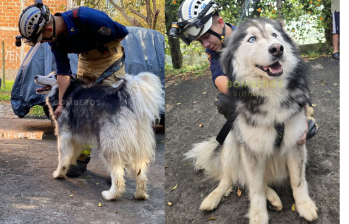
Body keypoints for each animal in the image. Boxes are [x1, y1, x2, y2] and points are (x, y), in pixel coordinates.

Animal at [34, 72, 164, 201]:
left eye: (51, 76)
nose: (35, 76)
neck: (67, 90)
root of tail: (124, 98)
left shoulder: (64, 135)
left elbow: (62, 158)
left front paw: (59, 174)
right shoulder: (75, 137)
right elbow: (73, 154)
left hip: (109, 145)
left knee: (118, 176)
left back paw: (111, 195)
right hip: (137, 148)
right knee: (140, 174)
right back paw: (140, 194)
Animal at [186, 18, 316, 223]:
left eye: (275, 35)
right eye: (252, 39)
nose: (277, 49)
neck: (271, 93)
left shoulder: (296, 141)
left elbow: (298, 181)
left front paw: (304, 205)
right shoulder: (251, 149)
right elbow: (255, 188)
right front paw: (257, 215)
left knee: (252, 181)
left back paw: (273, 198)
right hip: (232, 142)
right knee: (231, 179)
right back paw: (213, 198)